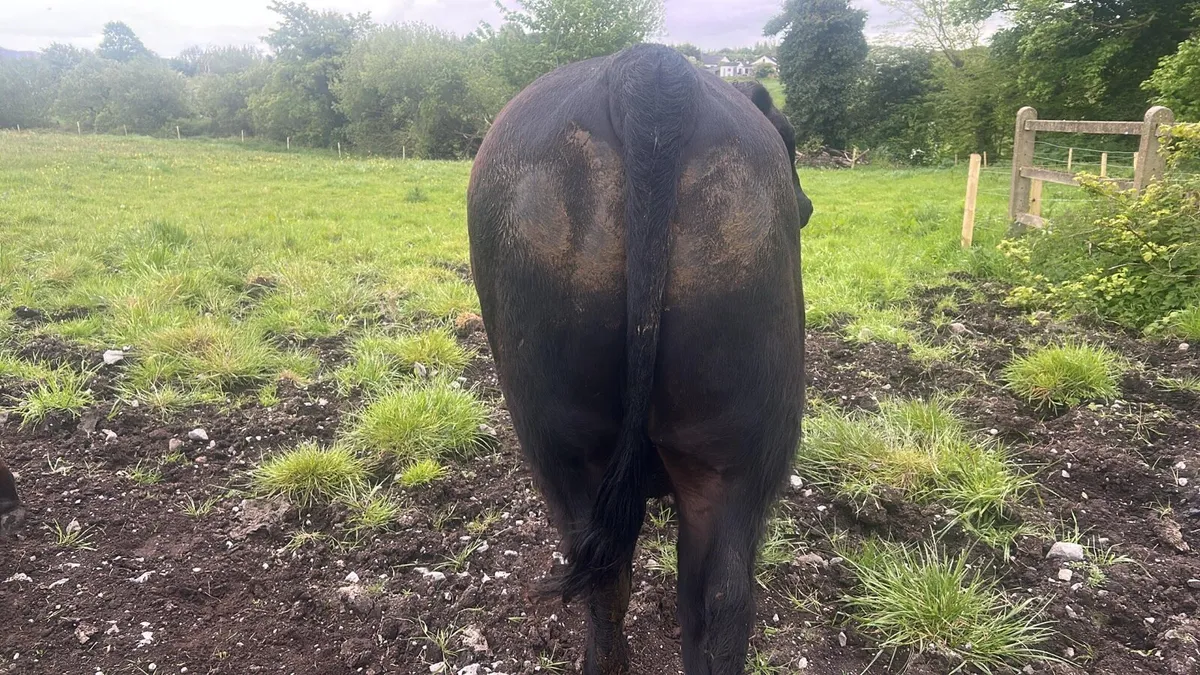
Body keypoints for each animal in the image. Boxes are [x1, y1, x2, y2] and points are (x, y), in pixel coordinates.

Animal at [467, 44, 810, 674]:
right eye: (792, 136)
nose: (808, 204)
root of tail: (649, 68)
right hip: (734, 453)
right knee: (711, 598)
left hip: (577, 448)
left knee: (646, 587)